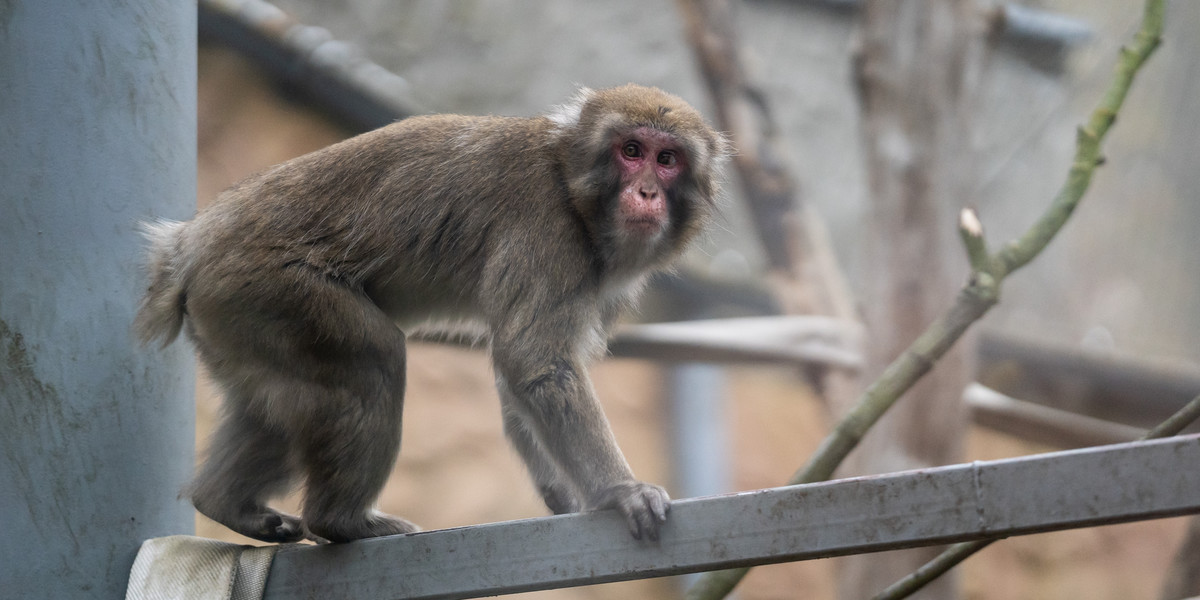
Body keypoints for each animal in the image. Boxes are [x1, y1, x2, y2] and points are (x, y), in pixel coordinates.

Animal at [136, 83, 724, 544]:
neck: (573, 189)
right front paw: (620, 492)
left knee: (275, 404)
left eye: (667, 160)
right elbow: (534, 364)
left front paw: (567, 498)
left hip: (233, 317)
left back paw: (224, 503)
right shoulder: (548, 231)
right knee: (372, 361)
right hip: (268, 288)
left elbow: (519, 381)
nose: (646, 191)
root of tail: (190, 244)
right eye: (632, 150)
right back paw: (341, 521)